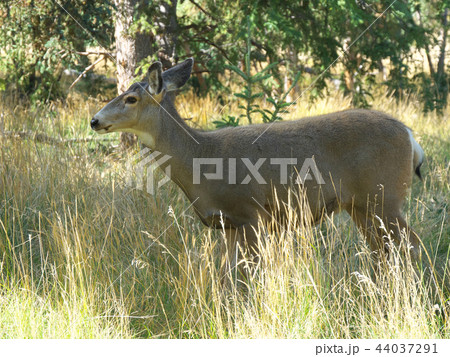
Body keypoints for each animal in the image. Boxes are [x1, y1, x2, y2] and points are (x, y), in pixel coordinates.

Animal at [91, 58, 426, 262]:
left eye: (131, 99)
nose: (94, 121)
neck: (200, 159)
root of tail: (411, 137)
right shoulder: (227, 224)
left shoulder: (252, 214)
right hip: (362, 206)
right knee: (384, 251)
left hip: (385, 197)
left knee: (411, 246)